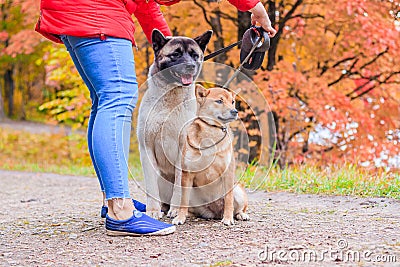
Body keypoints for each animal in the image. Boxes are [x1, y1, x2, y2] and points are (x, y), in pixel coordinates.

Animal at [138, 29, 212, 219]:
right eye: (176, 54)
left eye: (194, 55)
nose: (191, 66)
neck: (170, 99)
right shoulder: (147, 149)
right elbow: (151, 186)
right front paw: (153, 211)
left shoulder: (183, 151)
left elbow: (180, 183)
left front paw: (177, 210)